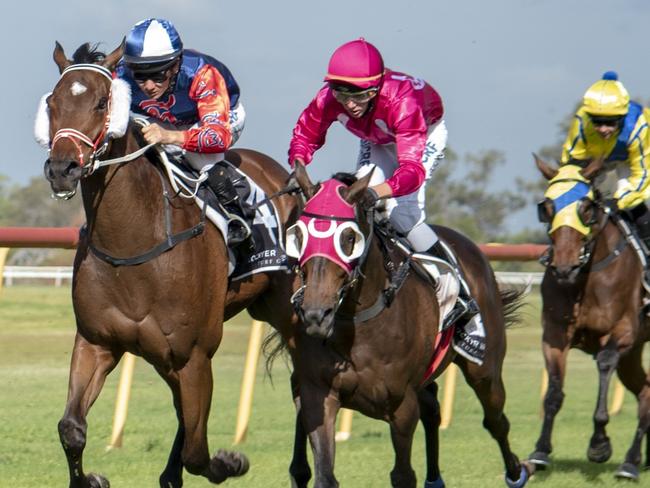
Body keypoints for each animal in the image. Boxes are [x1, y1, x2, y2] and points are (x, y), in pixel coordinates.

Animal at [41, 43, 300, 488]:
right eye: (52, 103)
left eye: (102, 102)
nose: (62, 169)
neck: (132, 242)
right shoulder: (98, 342)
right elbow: (71, 428)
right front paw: (91, 478)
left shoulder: (194, 353)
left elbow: (199, 452)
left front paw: (231, 461)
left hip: (289, 313)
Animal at [284, 164, 532, 488]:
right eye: (298, 236)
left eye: (349, 238)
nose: (316, 314)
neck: (358, 326)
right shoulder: (319, 396)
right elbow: (325, 475)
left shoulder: (402, 405)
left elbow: (402, 475)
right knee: (434, 408)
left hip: (485, 369)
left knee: (495, 419)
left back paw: (516, 472)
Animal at [528, 155, 648, 480]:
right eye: (547, 207)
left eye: (586, 208)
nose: (564, 267)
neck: (587, 279)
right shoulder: (555, 335)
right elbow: (553, 394)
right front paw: (540, 451)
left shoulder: (623, 332)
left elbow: (604, 362)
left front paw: (599, 444)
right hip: (632, 358)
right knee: (646, 393)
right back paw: (634, 461)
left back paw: (629, 464)